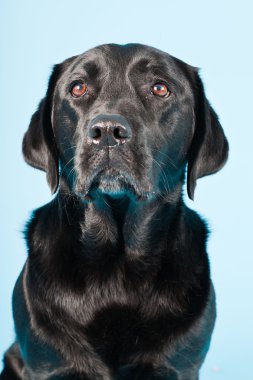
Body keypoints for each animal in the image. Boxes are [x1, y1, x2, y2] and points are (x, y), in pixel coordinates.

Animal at [0, 43, 228, 378]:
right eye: (78, 88)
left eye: (160, 88)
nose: (107, 131)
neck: (117, 267)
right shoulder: (46, 364)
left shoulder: (179, 366)